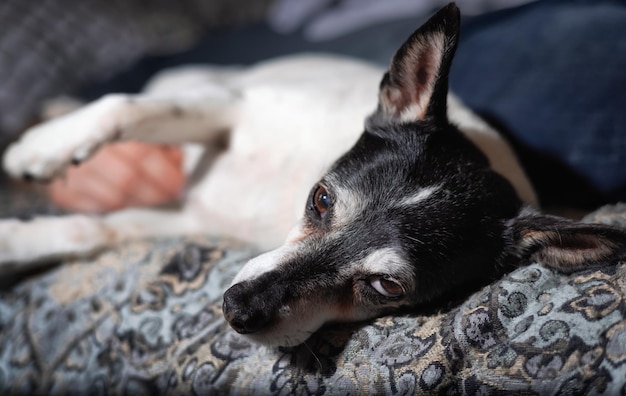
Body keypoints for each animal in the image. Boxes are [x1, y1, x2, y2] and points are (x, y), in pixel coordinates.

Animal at [1, 3, 624, 346]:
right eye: (322, 200)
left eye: (386, 288)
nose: (237, 310)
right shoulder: (233, 107)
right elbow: (122, 106)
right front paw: (39, 151)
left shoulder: (181, 218)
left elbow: (90, 229)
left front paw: (15, 238)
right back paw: (51, 118)